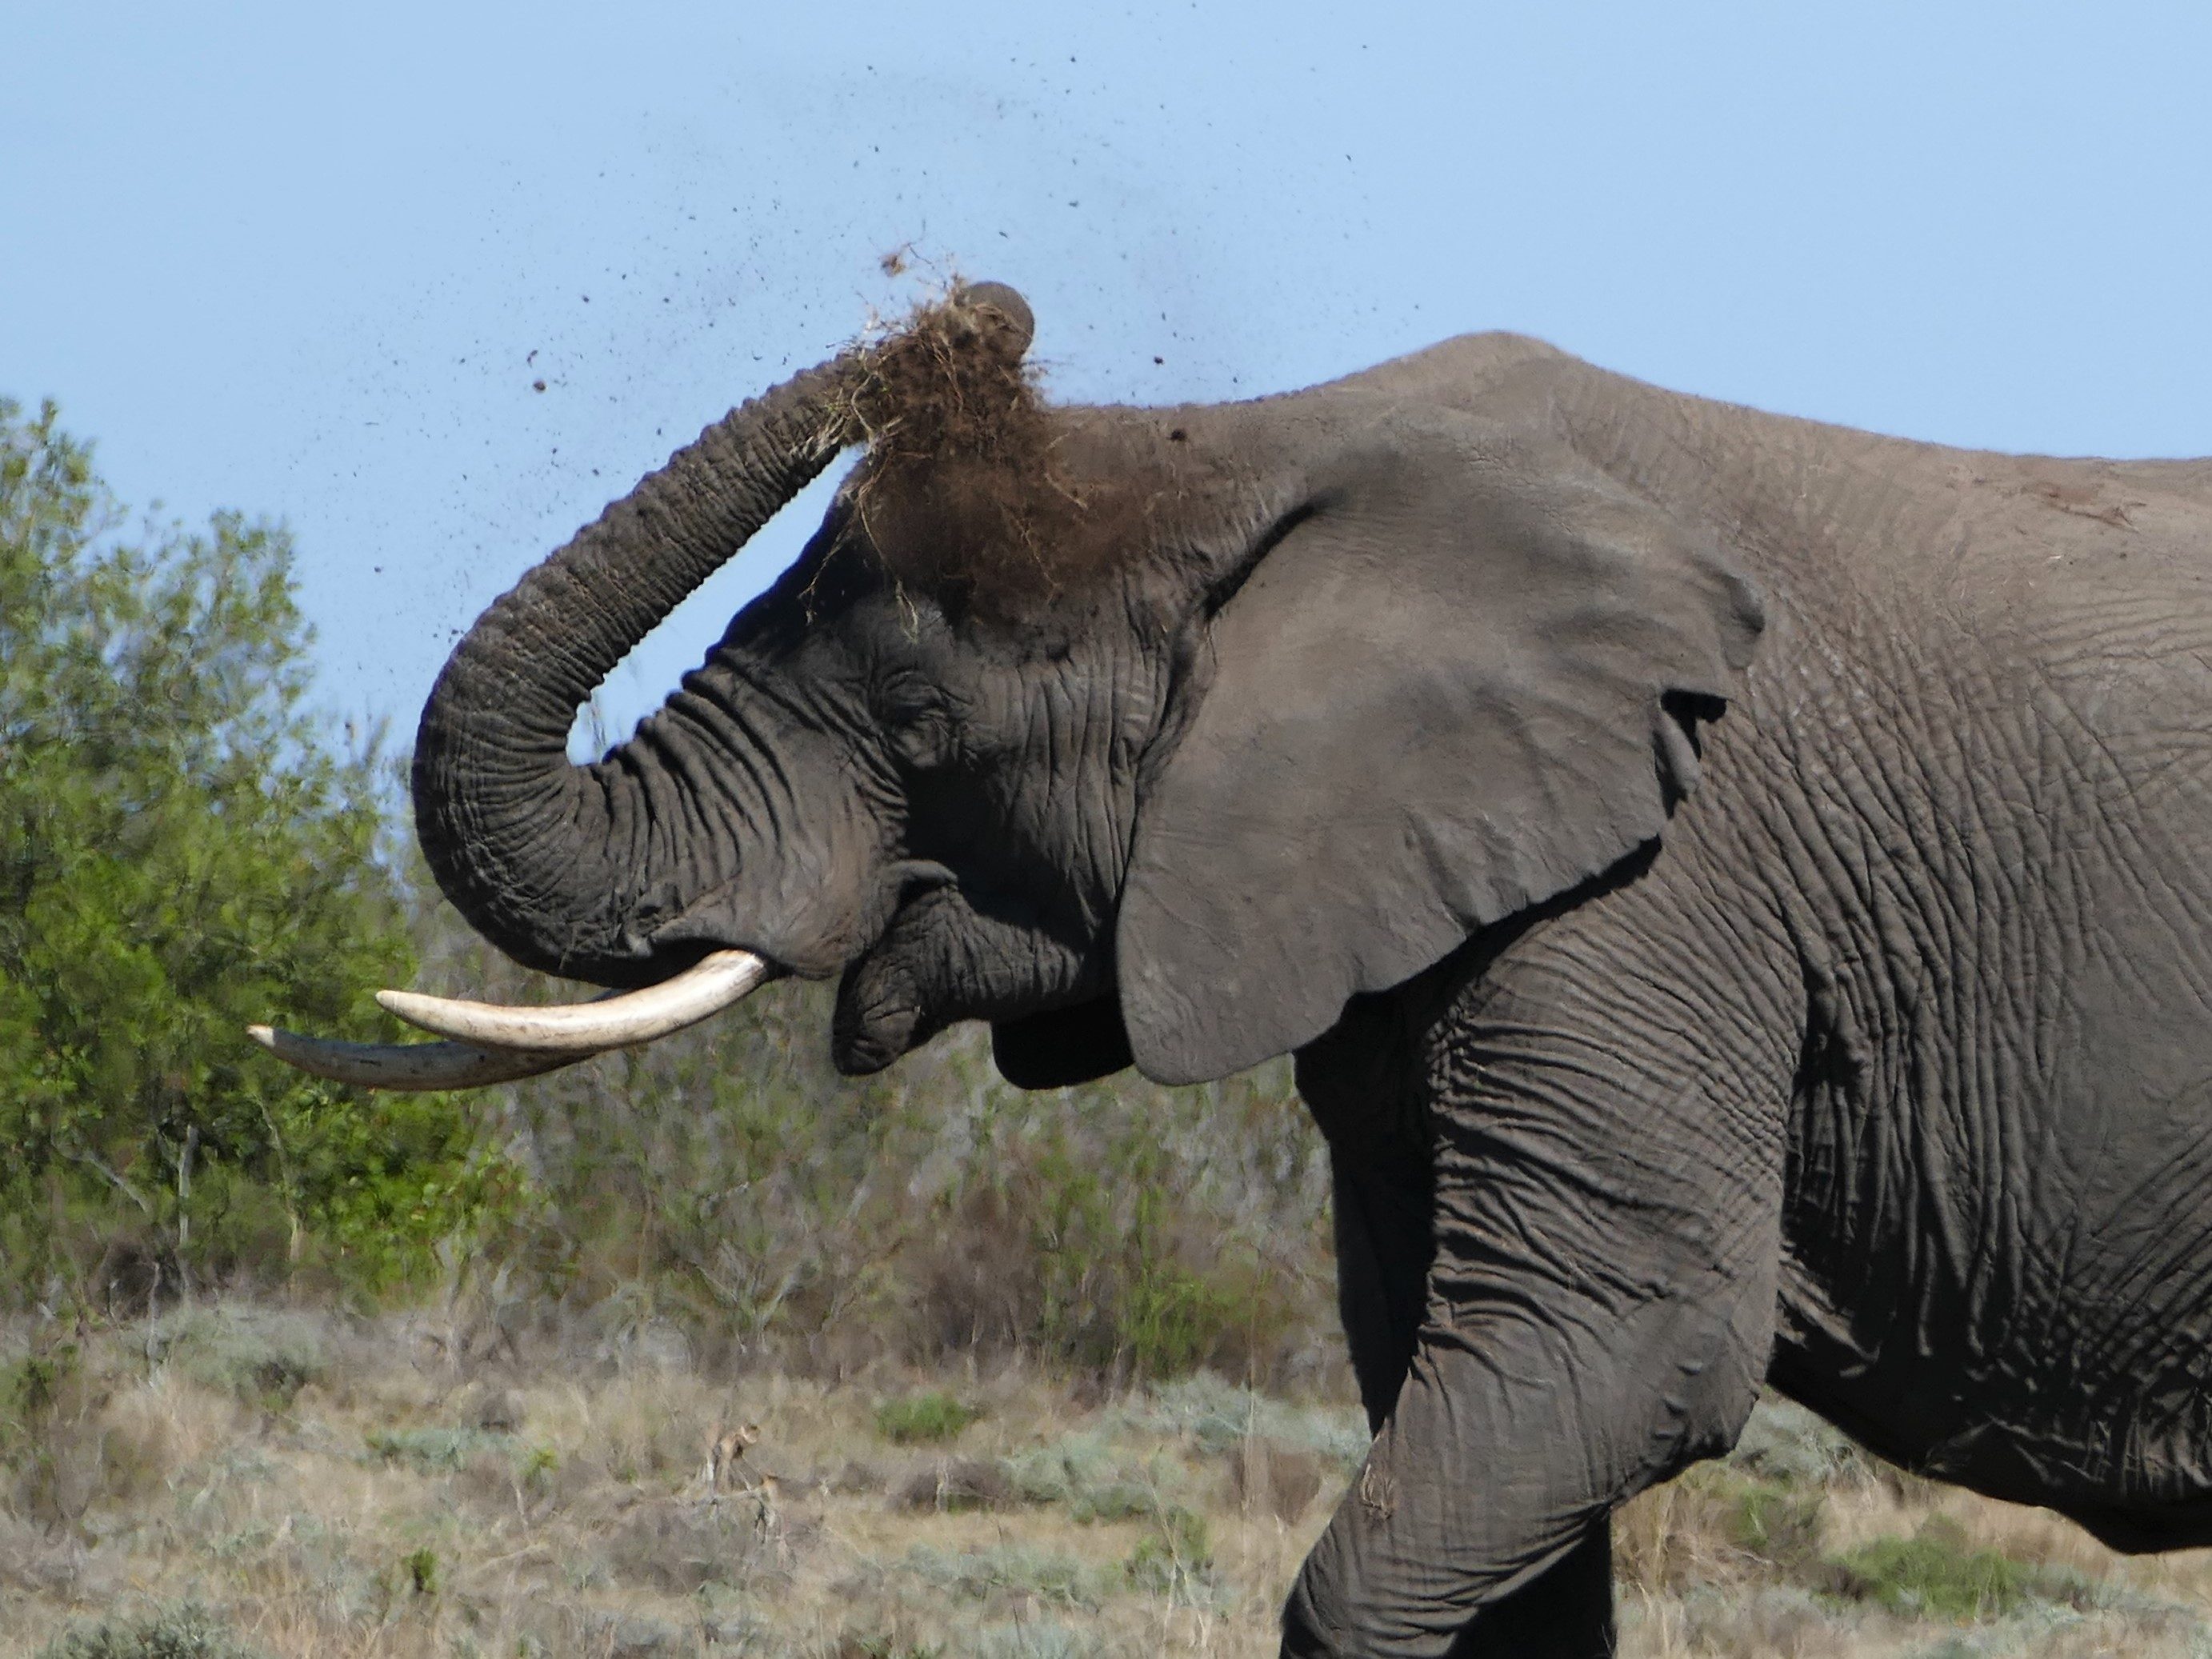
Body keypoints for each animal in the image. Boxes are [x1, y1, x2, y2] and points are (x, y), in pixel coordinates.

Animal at [259, 282, 2212, 1656]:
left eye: (921, 725)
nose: (972, 318)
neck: (1271, 451)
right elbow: (1457, 1378)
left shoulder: (1660, 882)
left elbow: (1621, 1347)